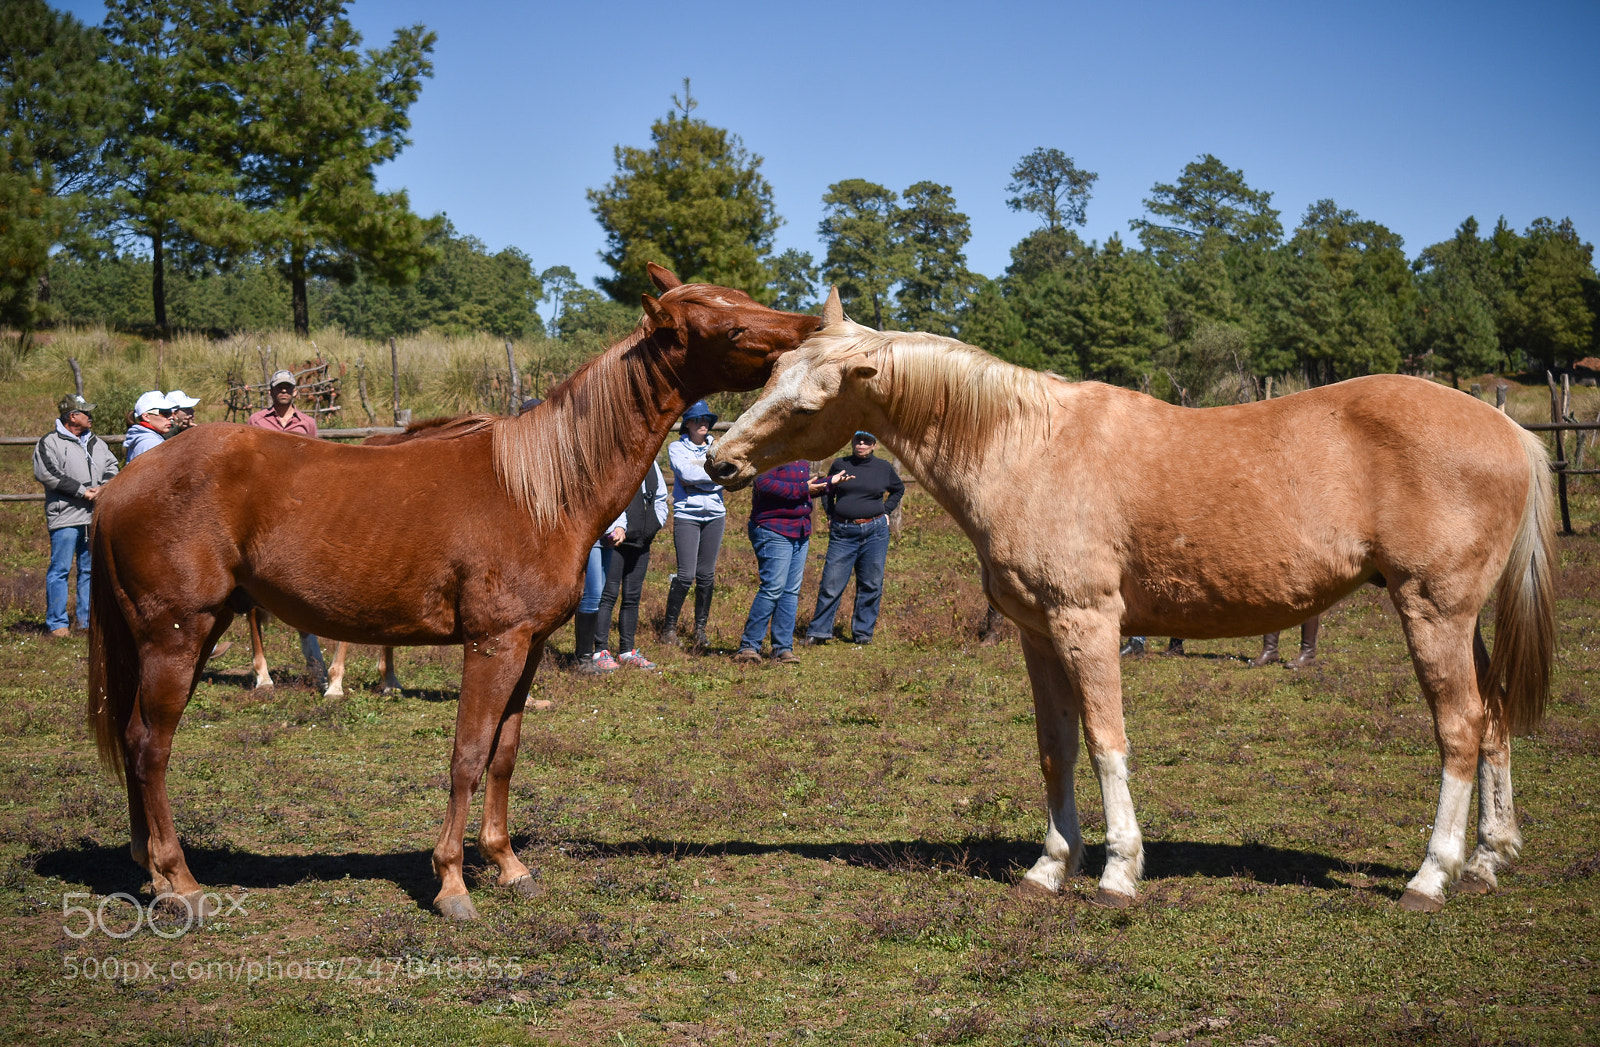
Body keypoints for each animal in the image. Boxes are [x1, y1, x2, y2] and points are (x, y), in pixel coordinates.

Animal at [88, 265, 830, 921]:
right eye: (731, 326)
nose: (812, 329)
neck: (537, 488)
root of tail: (120, 485)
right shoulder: (491, 646)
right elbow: (467, 757)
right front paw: (451, 883)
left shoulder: (527, 649)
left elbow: (503, 755)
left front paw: (507, 865)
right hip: (177, 636)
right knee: (151, 746)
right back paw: (181, 881)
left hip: (187, 634)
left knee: (132, 739)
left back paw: (149, 872)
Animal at [707, 320, 1555, 912]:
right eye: (770, 374)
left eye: (808, 401)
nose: (720, 460)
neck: (1028, 446)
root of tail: (1513, 432)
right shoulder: (1038, 633)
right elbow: (1055, 749)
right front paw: (1050, 867)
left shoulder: (1087, 625)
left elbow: (1106, 742)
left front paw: (1118, 870)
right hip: (1461, 621)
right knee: (1493, 719)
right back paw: (1489, 858)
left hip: (1432, 611)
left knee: (1459, 728)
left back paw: (1431, 876)